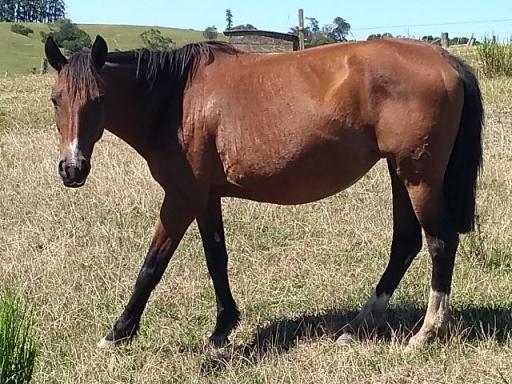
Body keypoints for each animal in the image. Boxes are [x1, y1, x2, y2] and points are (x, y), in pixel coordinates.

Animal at [45, 35, 484, 352]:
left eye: (99, 99)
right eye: (56, 99)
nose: (72, 169)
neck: (177, 99)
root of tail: (443, 58)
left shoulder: (181, 197)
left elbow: (152, 266)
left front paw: (118, 332)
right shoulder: (205, 197)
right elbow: (216, 259)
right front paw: (222, 329)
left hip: (418, 178)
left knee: (440, 242)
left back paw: (427, 333)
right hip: (400, 173)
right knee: (405, 242)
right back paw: (358, 325)